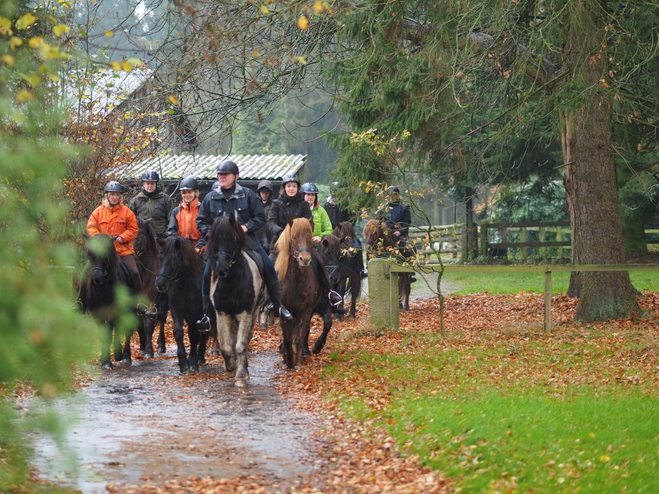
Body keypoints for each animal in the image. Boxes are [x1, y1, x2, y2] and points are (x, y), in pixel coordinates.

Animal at [79, 233, 142, 368]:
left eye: (106, 254)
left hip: (130, 310)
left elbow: (109, 333)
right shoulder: (96, 312)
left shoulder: (112, 310)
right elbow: (103, 334)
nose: (97, 277)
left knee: (127, 330)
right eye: (91, 254)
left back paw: (126, 357)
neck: (102, 288)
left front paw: (107, 362)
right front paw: (104, 360)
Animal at [155, 237, 209, 372]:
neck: (186, 286)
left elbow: (194, 335)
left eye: (174, 258)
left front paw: (193, 362)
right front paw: (183, 362)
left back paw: (200, 356)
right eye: (160, 256)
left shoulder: (196, 313)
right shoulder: (177, 310)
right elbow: (178, 332)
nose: (160, 283)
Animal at [208, 215, 266, 386]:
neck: (231, 283)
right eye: (214, 239)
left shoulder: (245, 313)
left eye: (232, 239)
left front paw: (241, 376)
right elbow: (227, 347)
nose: (221, 269)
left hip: (253, 313)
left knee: (245, 339)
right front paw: (230, 366)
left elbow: (241, 345)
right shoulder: (222, 313)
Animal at [274, 218, 324, 368]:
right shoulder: (284, 312)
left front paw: (297, 362)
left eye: (309, 236)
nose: (305, 259)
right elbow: (287, 337)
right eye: (294, 237)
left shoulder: (305, 312)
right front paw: (289, 361)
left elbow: (299, 337)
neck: (296, 281)